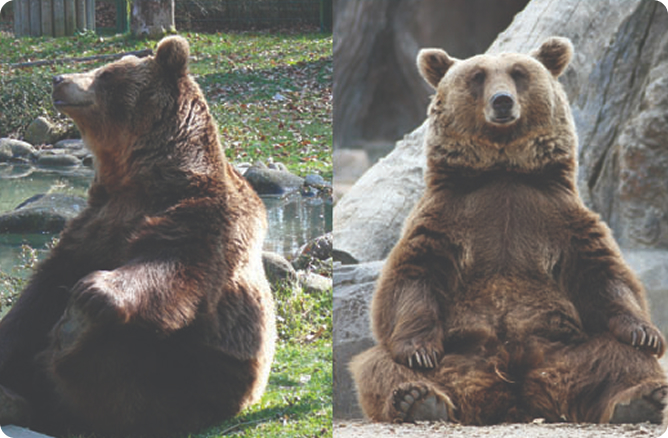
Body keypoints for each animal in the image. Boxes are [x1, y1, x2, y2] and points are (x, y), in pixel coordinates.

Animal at [0, 36, 276, 438]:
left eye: (105, 73)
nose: (58, 78)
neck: (138, 178)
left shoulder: (207, 218)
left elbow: (170, 266)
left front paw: (88, 298)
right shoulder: (91, 225)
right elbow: (36, 298)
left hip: (188, 378)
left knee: (111, 361)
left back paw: (71, 334)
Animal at [350, 37, 668, 426]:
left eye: (519, 73)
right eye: (477, 76)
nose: (502, 101)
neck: (503, 170)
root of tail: (515, 391)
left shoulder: (559, 216)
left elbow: (604, 275)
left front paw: (645, 333)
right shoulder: (446, 217)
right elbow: (411, 277)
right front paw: (419, 352)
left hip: (566, 349)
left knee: (619, 358)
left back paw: (642, 398)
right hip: (461, 352)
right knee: (378, 366)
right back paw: (417, 398)